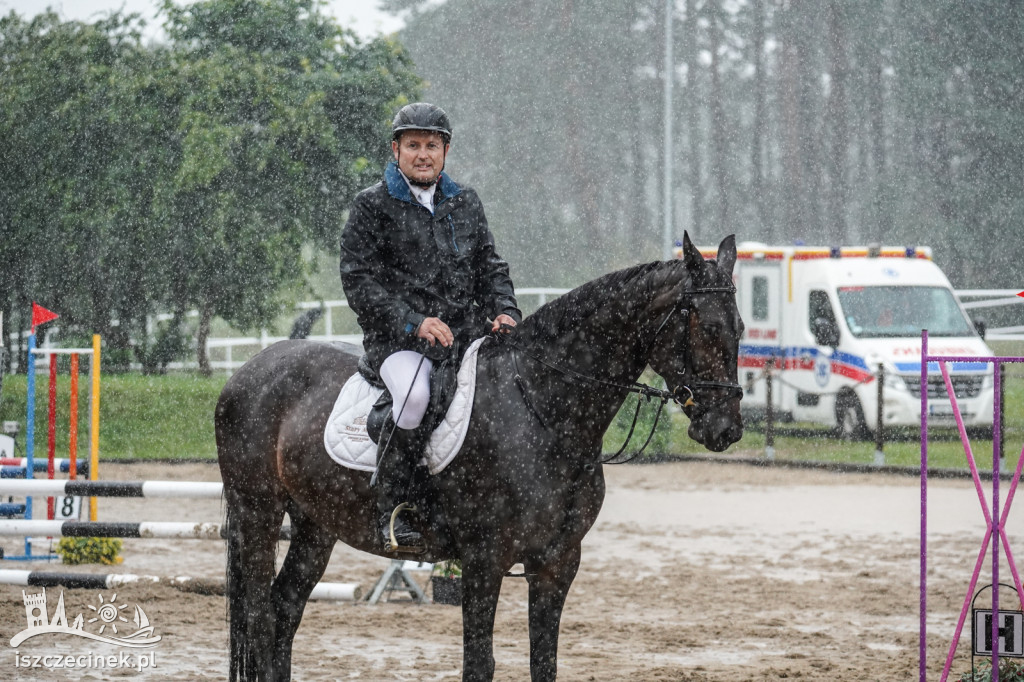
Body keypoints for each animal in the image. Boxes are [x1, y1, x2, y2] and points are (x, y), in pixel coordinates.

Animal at [216, 231, 745, 675]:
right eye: (705, 327)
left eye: (739, 327)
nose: (726, 429)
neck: (542, 409)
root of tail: (250, 368)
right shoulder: (483, 559)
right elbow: (479, 664)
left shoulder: (557, 563)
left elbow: (544, 663)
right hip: (257, 513)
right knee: (260, 615)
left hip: (315, 523)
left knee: (285, 607)